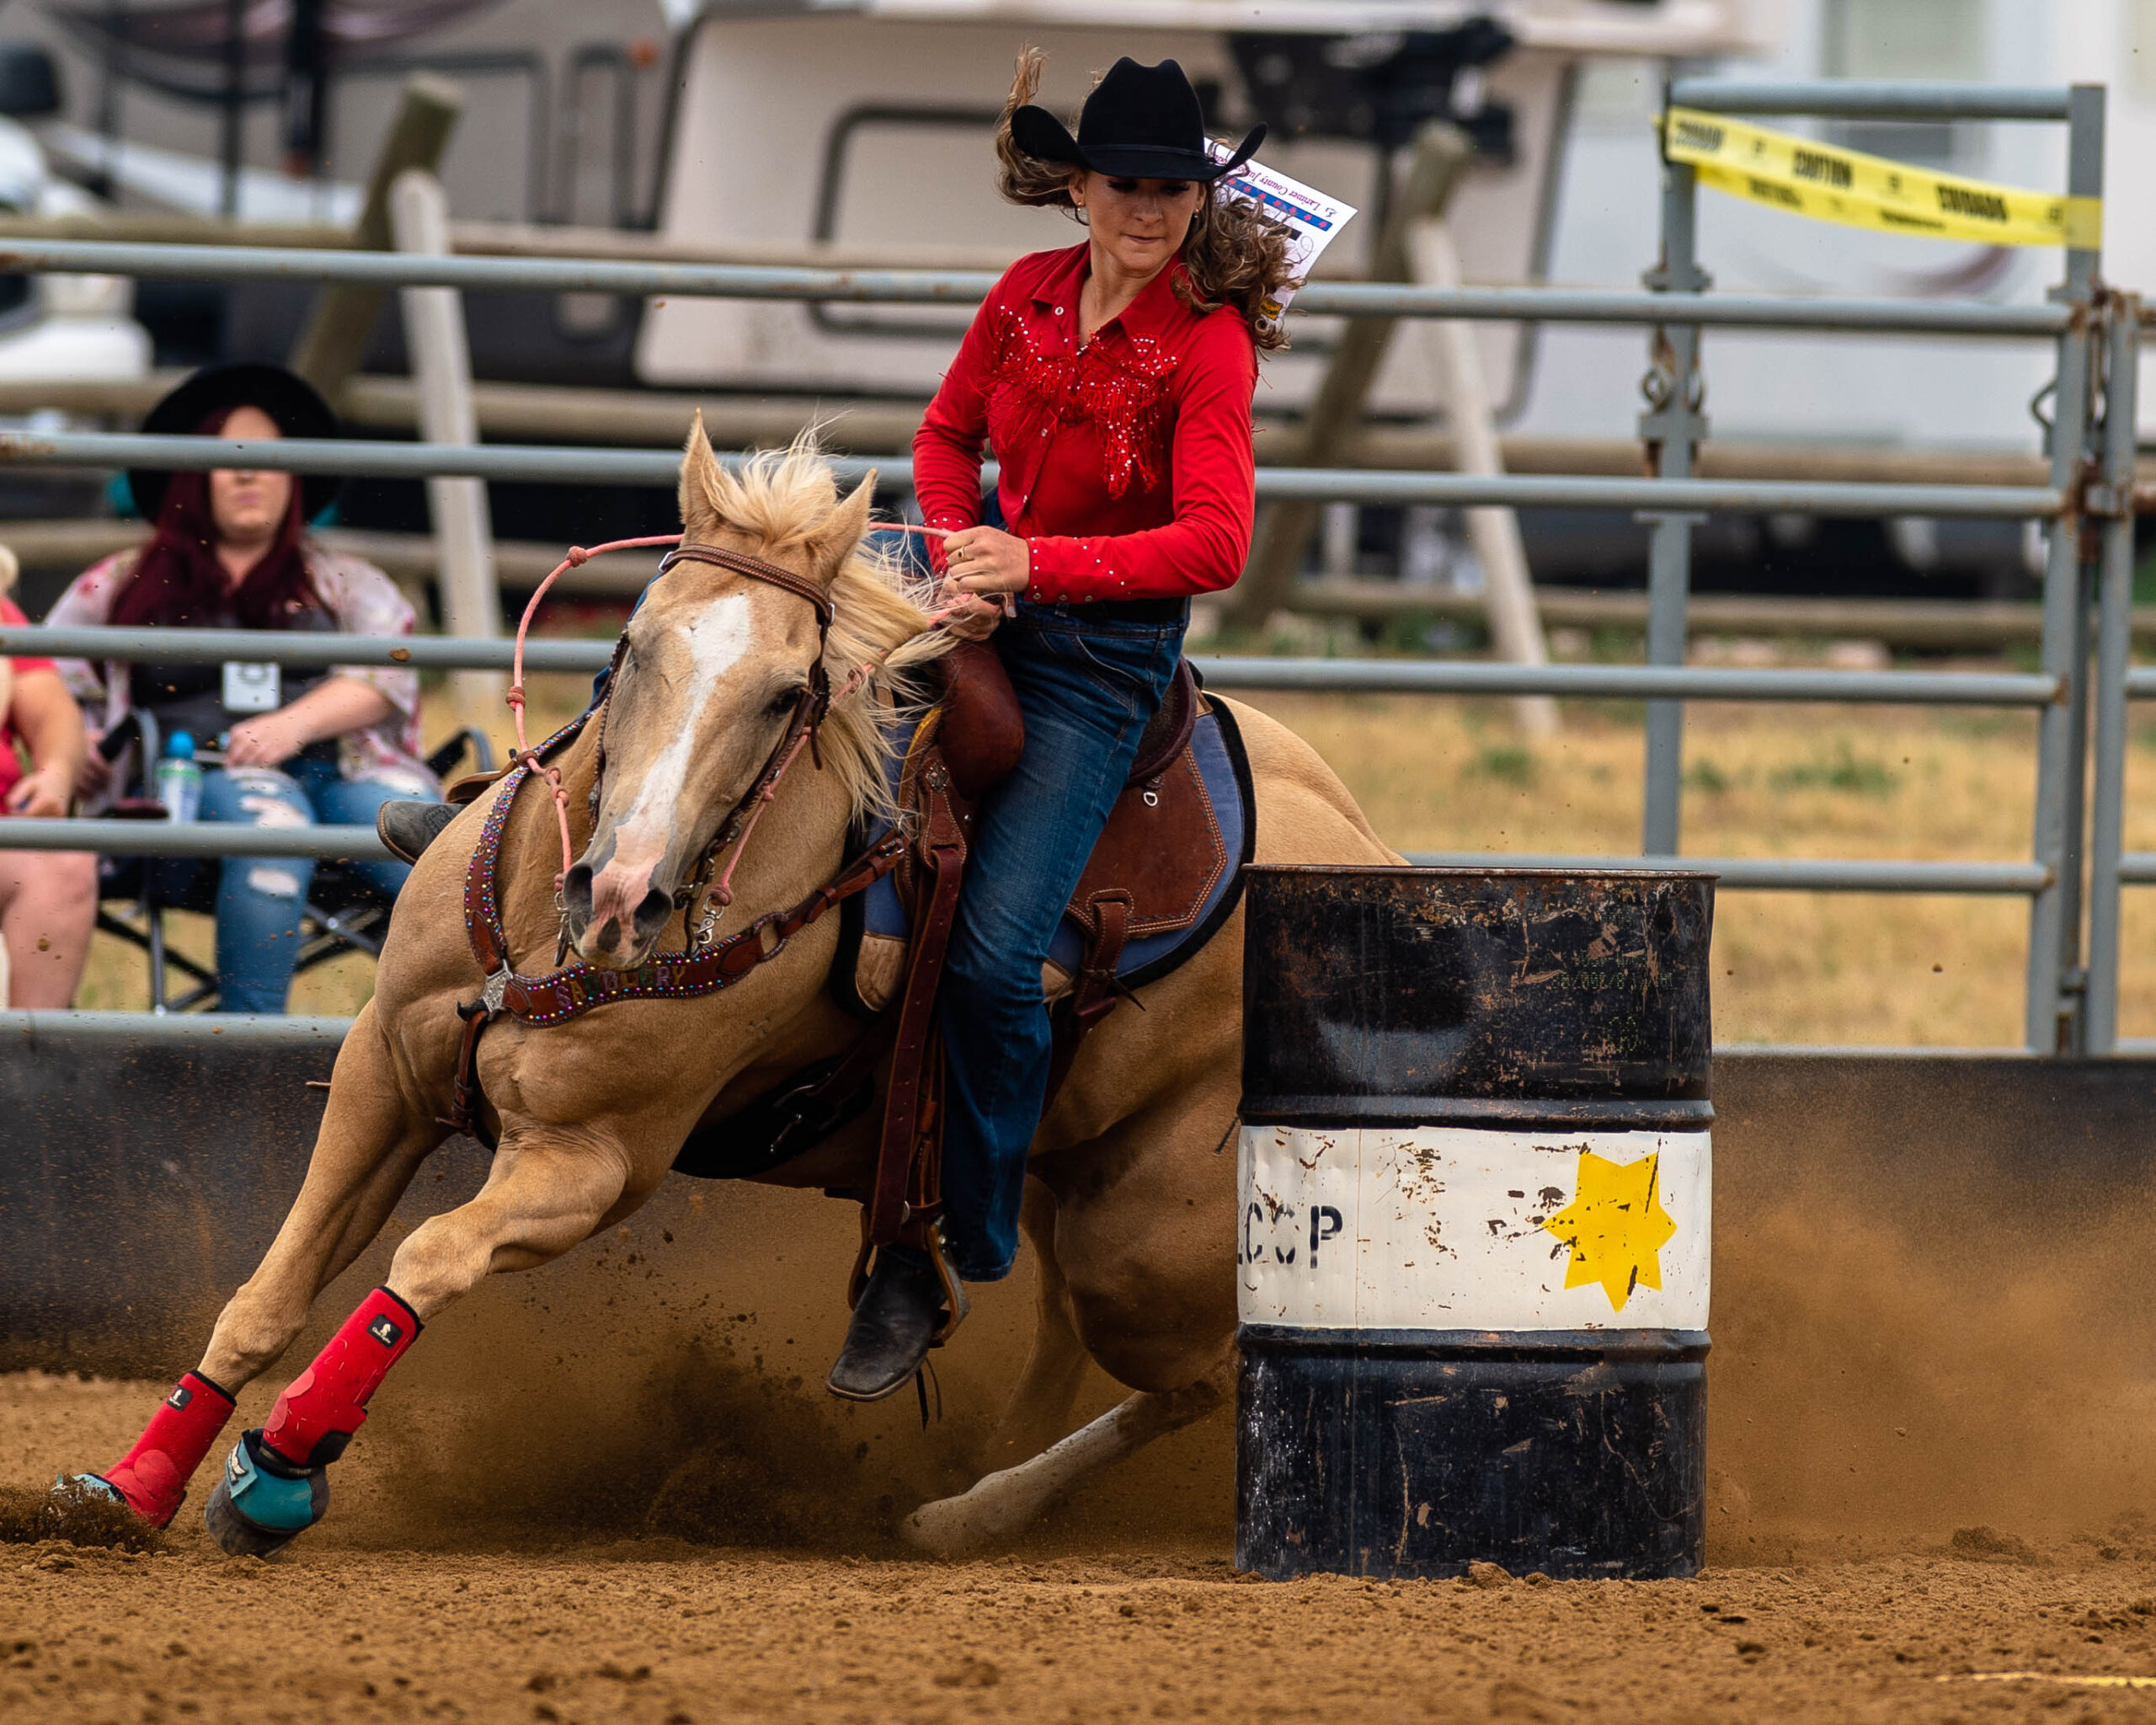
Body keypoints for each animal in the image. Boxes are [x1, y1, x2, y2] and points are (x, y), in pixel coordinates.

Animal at [76, 425, 1396, 1552]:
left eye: (783, 692)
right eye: (635, 643)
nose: (621, 893)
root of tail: (1372, 857)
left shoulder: (591, 1163)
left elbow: (427, 1263)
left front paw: (280, 1470)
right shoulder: (379, 1074)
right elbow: (267, 1294)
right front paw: (131, 1485)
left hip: (1148, 1237)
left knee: (1201, 1373)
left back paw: (967, 1517)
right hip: (1060, 1177)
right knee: (1068, 1336)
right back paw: (960, 1471)